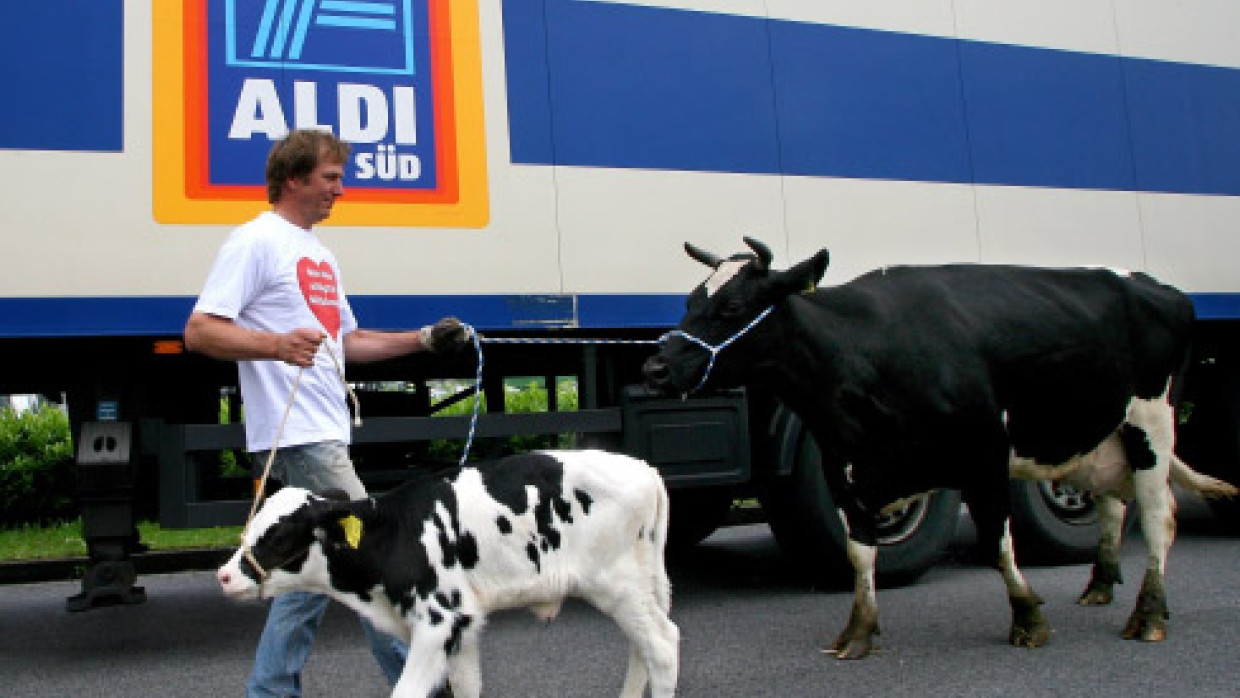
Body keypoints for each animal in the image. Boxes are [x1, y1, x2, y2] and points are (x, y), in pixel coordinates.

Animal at [214, 451, 679, 694]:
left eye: (278, 535)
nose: (223, 575)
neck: (394, 534)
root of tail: (645, 469)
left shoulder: (441, 619)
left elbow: (407, 690)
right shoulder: (462, 630)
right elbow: (466, 687)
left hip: (618, 585)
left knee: (661, 645)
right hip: (637, 588)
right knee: (645, 644)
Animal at [644, 239, 1235, 659]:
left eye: (732, 306)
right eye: (691, 301)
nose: (655, 367)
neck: (867, 353)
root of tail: (1161, 287)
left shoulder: (985, 450)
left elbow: (998, 542)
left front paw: (1028, 617)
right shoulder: (843, 462)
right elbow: (861, 552)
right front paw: (858, 631)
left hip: (1151, 422)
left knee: (1159, 515)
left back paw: (1148, 614)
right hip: (1097, 431)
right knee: (1114, 502)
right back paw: (1100, 585)